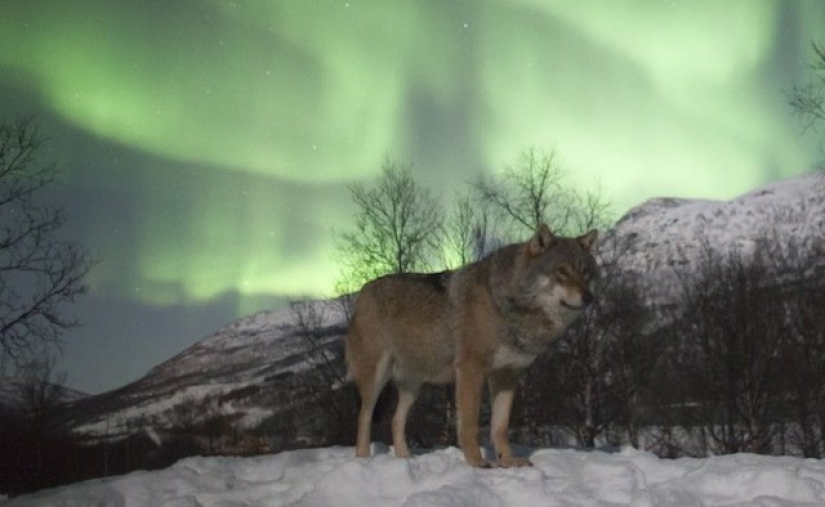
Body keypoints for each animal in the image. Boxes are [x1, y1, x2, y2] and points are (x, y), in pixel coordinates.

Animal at [345, 223, 598, 467]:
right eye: (562, 271)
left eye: (586, 272)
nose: (589, 298)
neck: (508, 307)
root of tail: (363, 291)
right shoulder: (471, 370)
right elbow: (469, 424)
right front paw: (476, 462)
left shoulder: (507, 375)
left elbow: (500, 427)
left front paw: (508, 461)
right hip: (376, 380)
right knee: (363, 417)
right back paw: (363, 459)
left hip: (412, 387)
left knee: (396, 420)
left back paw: (405, 459)